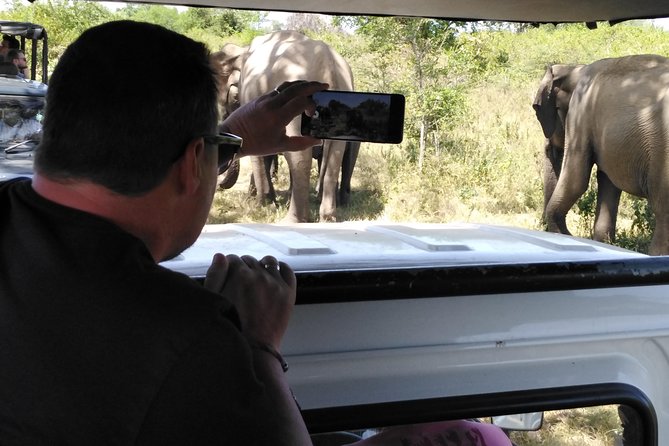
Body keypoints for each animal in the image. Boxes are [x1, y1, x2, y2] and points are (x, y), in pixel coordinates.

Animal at [211, 30, 358, 222]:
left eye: (235, 99)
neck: (242, 50)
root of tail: (328, 65)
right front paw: (269, 201)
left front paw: (263, 205)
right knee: (336, 153)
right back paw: (327, 218)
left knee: (300, 156)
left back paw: (293, 219)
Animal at [533, 54, 669, 255]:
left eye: (538, 112)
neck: (575, 68)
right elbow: (607, 183)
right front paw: (604, 244)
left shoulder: (580, 113)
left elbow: (576, 181)